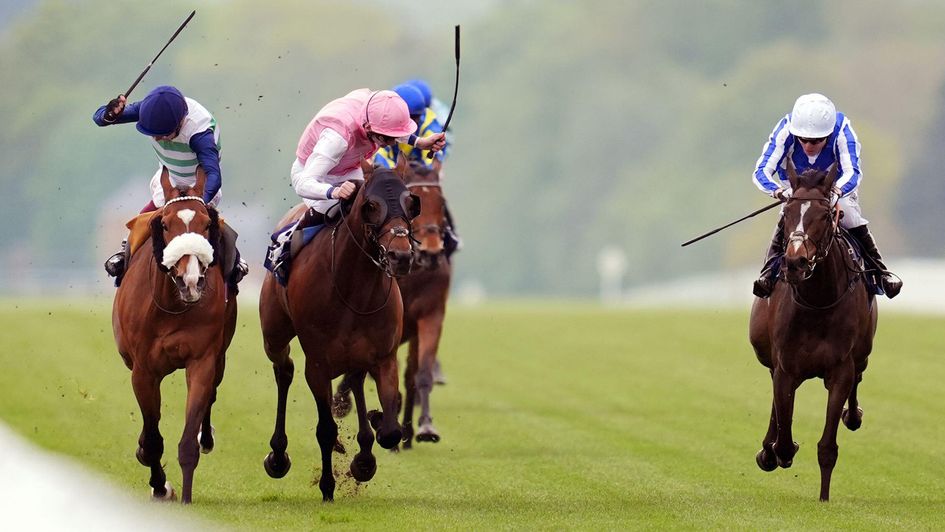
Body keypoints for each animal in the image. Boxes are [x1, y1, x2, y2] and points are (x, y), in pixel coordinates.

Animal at [112, 167, 238, 502]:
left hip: (220, 355)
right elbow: (153, 439)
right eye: (166, 224)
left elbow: (188, 440)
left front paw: (186, 498)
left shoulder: (202, 360)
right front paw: (160, 486)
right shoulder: (143, 371)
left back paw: (207, 436)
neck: (172, 307)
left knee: (213, 394)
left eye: (206, 224)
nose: (190, 281)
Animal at [258, 160, 420, 500]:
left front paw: (367, 451)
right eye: (371, 205)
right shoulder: (317, 363)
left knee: (355, 380)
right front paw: (328, 486)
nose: (400, 256)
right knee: (284, 370)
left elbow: (389, 431)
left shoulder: (384, 356)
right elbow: (325, 428)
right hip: (274, 335)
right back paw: (278, 456)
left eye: (411, 203)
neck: (354, 290)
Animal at [338, 159, 456, 448]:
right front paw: (343, 400)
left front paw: (425, 426)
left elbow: (420, 372)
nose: (431, 252)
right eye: (417, 203)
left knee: (411, 373)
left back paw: (409, 431)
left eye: (441, 202)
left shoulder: (430, 315)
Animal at [748, 163, 872, 502]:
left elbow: (827, 446)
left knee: (859, 375)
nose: (795, 261)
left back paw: (853, 415)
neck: (818, 301)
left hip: (863, 352)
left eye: (825, 215)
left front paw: (824, 498)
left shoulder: (840, 369)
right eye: (787, 213)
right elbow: (784, 434)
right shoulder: (786, 367)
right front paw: (776, 452)